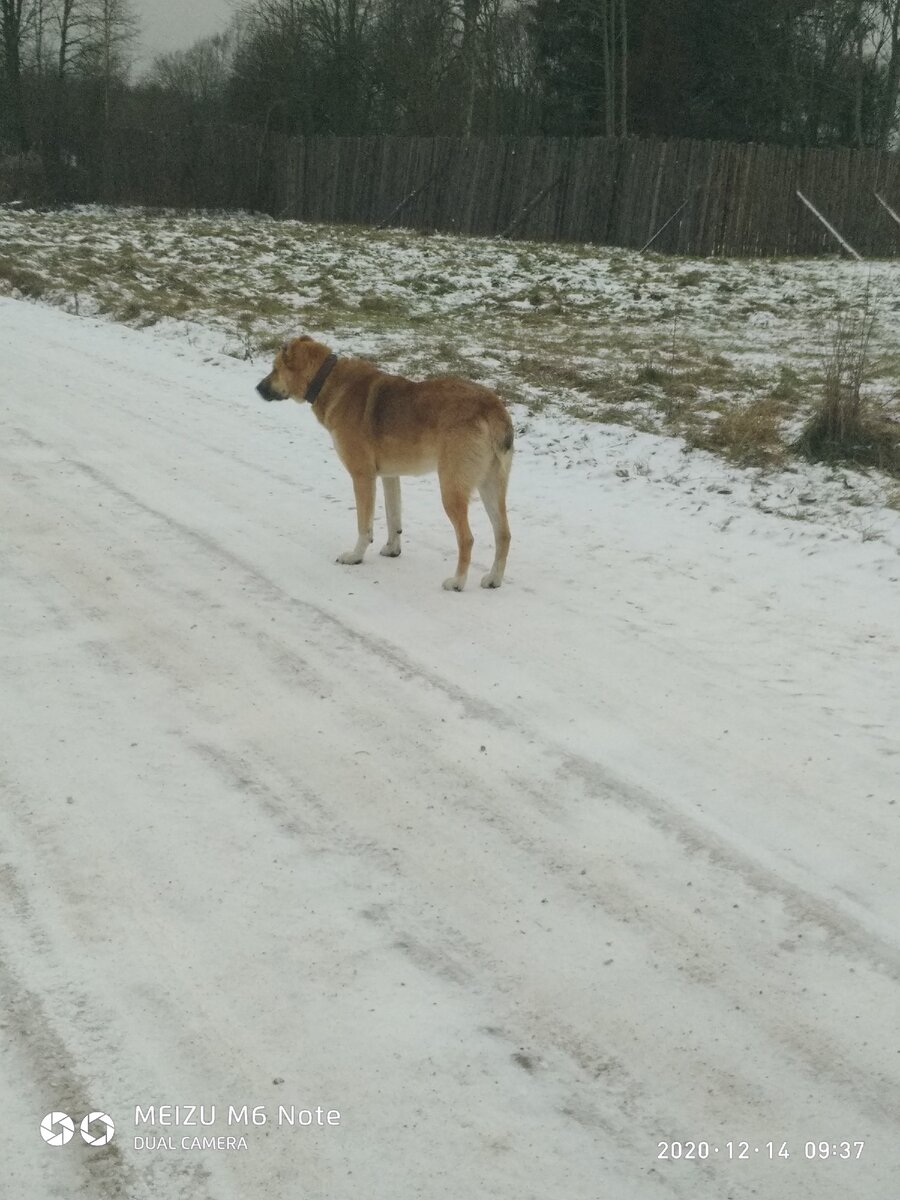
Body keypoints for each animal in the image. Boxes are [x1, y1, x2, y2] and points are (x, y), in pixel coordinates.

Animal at [260, 336, 513, 588]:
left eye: (275, 369)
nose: (257, 388)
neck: (326, 379)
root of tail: (492, 408)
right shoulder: (390, 477)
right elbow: (393, 519)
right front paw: (393, 549)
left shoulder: (362, 476)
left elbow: (364, 526)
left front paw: (355, 556)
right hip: (491, 486)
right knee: (503, 534)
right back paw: (494, 578)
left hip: (452, 489)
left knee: (467, 538)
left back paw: (457, 581)